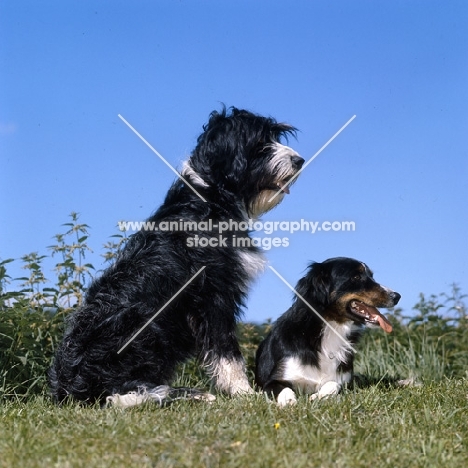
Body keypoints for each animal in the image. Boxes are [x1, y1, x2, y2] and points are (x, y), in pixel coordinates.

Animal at [48, 106, 304, 406]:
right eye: (261, 142)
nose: (299, 161)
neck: (210, 197)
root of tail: (69, 389)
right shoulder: (213, 295)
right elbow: (227, 351)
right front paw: (244, 393)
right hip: (142, 326)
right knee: (123, 391)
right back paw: (192, 395)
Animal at [254, 258, 400, 408]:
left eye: (371, 276)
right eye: (356, 277)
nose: (396, 296)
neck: (330, 328)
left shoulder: (345, 381)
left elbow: (333, 384)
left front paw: (320, 396)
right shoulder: (273, 380)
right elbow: (283, 389)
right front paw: (289, 401)